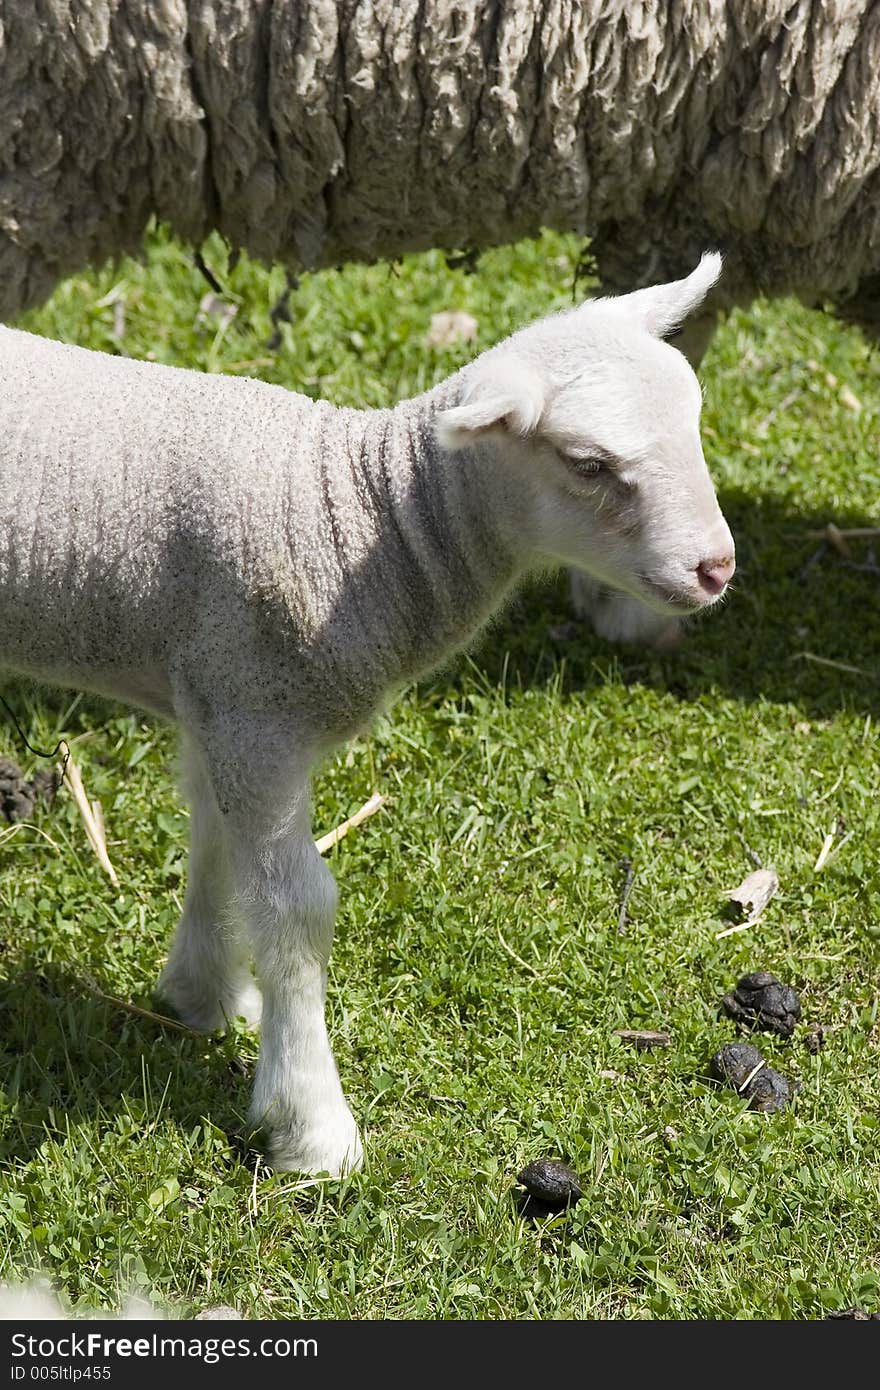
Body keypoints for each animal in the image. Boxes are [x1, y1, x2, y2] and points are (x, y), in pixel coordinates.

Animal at [0, 252, 728, 1173]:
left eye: (696, 421)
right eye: (590, 463)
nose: (717, 567)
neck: (355, 520)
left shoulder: (219, 698)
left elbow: (215, 844)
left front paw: (205, 995)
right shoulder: (259, 711)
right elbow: (296, 909)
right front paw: (312, 1125)